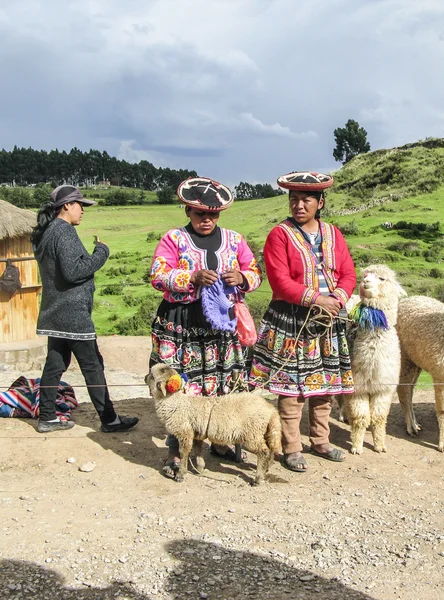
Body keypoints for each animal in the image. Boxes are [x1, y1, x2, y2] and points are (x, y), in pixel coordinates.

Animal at [147, 364, 282, 486]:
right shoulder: (197, 433)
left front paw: (181, 474)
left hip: (252, 435)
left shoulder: (185, 433)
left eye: (152, 375)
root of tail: (270, 409)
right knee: (271, 448)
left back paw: (258, 479)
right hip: (265, 431)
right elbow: (198, 451)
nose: (144, 377)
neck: (174, 402)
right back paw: (267, 468)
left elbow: (184, 453)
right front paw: (200, 469)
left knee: (264, 451)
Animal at [344, 264, 406, 452]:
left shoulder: (383, 388)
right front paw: (357, 447)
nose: (365, 281)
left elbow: (378, 418)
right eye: (365, 274)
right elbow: (360, 417)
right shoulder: (358, 387)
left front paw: (380, 445)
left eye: (382, 278)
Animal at [398, 296, 444, 450]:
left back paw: (415, 424)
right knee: (404, 389)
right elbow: (442, 410)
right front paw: (442, 445)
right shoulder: (440, 375)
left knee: (410, 389)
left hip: (417, 361)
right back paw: (411, 428)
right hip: (404, 356)